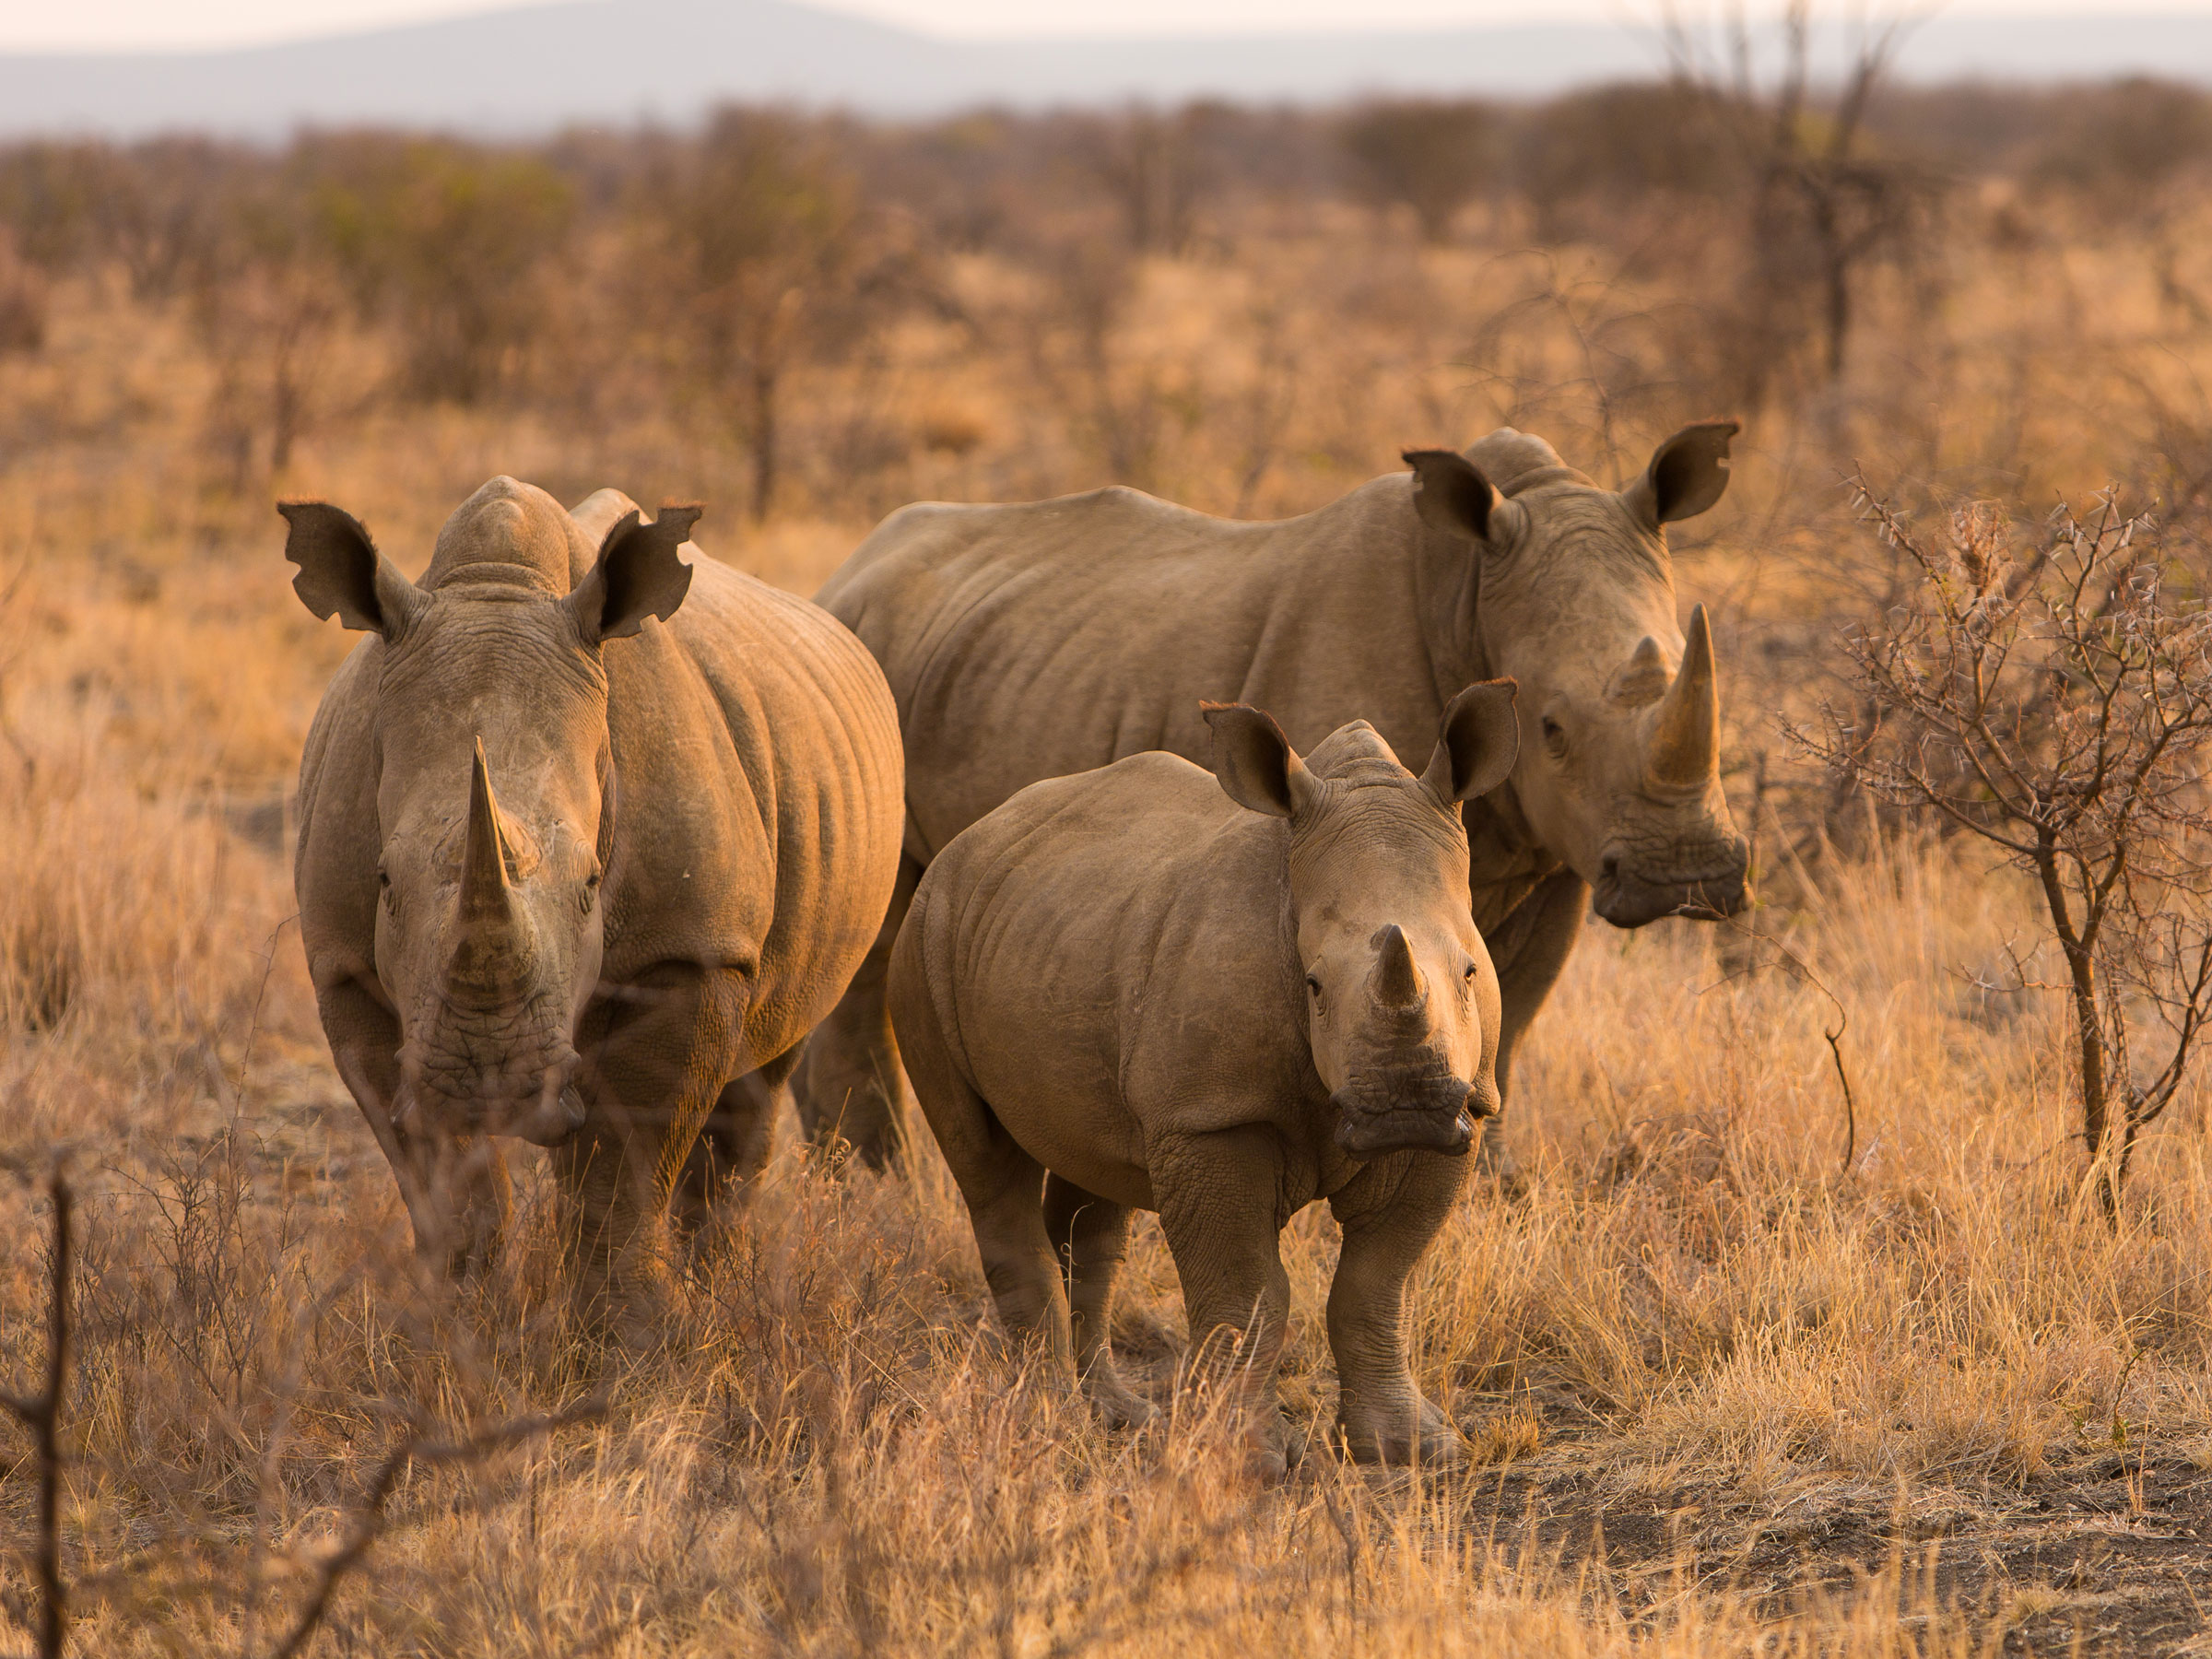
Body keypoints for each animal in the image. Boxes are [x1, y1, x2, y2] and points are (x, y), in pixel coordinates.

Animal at [805, 422, 1751, 1168]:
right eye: (1550, 728)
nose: (1690, 877)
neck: (1469, 592)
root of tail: (849, 567)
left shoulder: (1556, 854)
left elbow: (1505, 1018)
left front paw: (1491, 1179)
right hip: (861, 672)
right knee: (878, 922)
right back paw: (870, 1169)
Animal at [885, 681, 1522, 1477]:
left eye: (1470, 971)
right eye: (1312, 985)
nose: (1405, 1109)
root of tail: (970, 839)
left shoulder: (1464, 1107)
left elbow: (1378, 1280)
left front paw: (1412, 1449)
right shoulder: (1211, 1116)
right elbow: (1247, 1289)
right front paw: (1250, 1459)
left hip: (1054, 933)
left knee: (1093, 1187)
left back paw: (1118, 1417)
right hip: (924, 936)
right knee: (984, 1160)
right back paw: (1049, 1425)